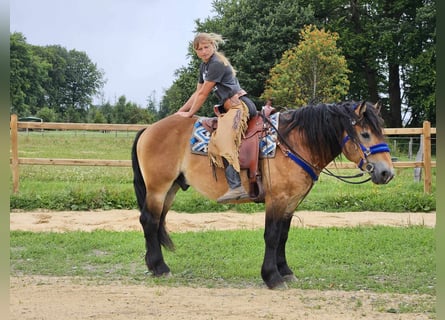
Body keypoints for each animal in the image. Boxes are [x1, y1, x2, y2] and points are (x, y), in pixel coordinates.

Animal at [131, 100, 392, 290]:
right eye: (366, 134)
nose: (386, 172)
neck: (294, 144)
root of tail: (149, 129)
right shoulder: (276, 199)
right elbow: (272, 236)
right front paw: (272, 277)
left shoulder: (291, 201)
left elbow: (283, 236)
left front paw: (285, 271)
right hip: (158, 188)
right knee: (149, 221)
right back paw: (160, 267)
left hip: (170, 189)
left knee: (155, 222)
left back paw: (154, 265)